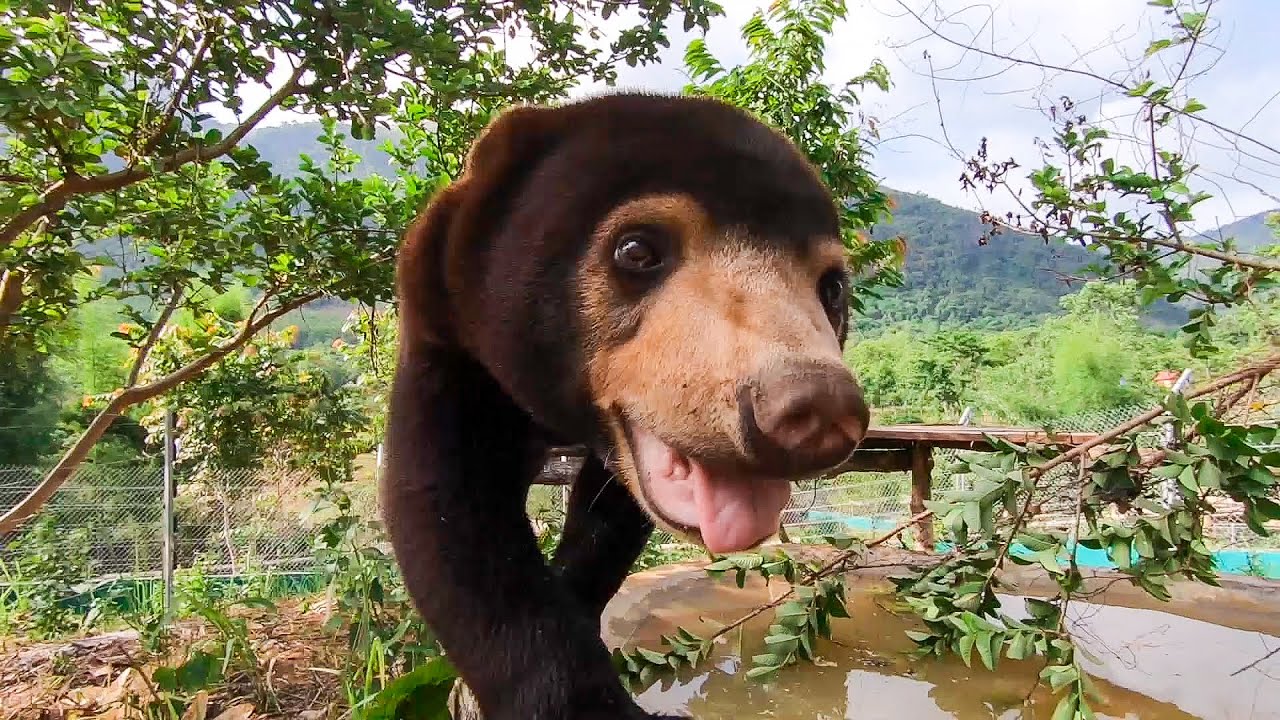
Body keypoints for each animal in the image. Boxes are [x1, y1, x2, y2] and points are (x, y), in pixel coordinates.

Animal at [381, 91, 871, 720]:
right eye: (636, 249)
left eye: (831, 287)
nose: (818, 408)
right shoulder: (447, 330)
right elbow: (448, 513)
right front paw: (587, 700)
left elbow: (609, 519)